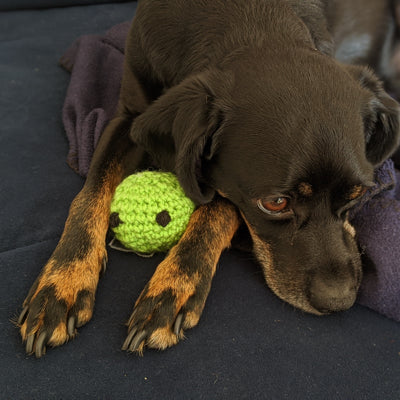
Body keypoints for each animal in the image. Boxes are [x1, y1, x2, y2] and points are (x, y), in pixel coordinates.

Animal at [17, 0, 400, 356]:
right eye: (275, 203)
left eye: (357, 194)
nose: (339, 301)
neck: (251, 21)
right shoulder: (128, 117)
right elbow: (90, 194)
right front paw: (63, 281)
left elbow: (217, 208)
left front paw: (175, 285)